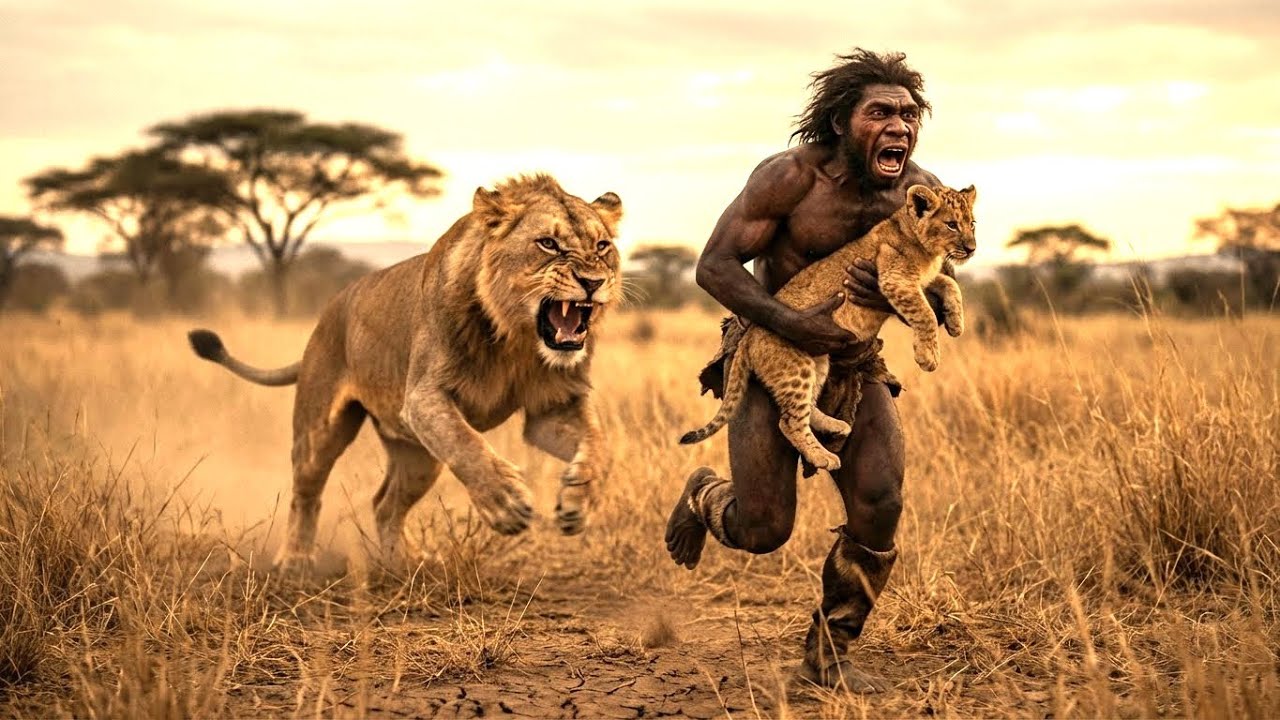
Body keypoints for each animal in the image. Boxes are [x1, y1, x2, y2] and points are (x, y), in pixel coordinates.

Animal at [188, 173, 623, 569]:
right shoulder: (423, 397)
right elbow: (466, 444)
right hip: (321, 429)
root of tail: (329, 312)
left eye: (602, 246)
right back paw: (295, 560)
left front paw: (579, 499)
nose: (593, 281)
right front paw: (505, 501)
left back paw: (407, 563)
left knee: (385, 504)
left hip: (418, 455)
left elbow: (600, 446)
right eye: (548, 243)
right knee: (306, 492)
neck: (516, 340)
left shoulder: (555, 405)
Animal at [679, 184, 976, 470]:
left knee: (809, 406)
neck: (926, 249)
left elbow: (951, 285)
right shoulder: (895, 281)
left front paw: (956, 323)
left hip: (818, 362)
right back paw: (823, 456)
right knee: (789, 421)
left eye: (972, 223)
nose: (972, 248)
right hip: (795, 368)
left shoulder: (923, 280)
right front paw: (928, 356)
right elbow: (925, 313)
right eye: (951, 224)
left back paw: (836, 426)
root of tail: (750, 336)